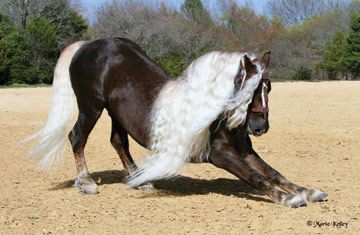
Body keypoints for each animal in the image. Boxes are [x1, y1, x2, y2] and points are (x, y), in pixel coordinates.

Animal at [26, 37, 326, 207]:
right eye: (248, 89)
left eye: (268, 87)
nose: (259, 127)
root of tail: (87, 46)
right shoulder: (220, 155)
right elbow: (256, 177)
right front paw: (288, 199)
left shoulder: (245, 150)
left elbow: (273, 173)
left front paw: (309, 192)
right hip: (91, 107)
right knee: (77, 137)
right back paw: (86, 182)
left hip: (115, 112)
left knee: (118, 141)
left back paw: (140, 180)